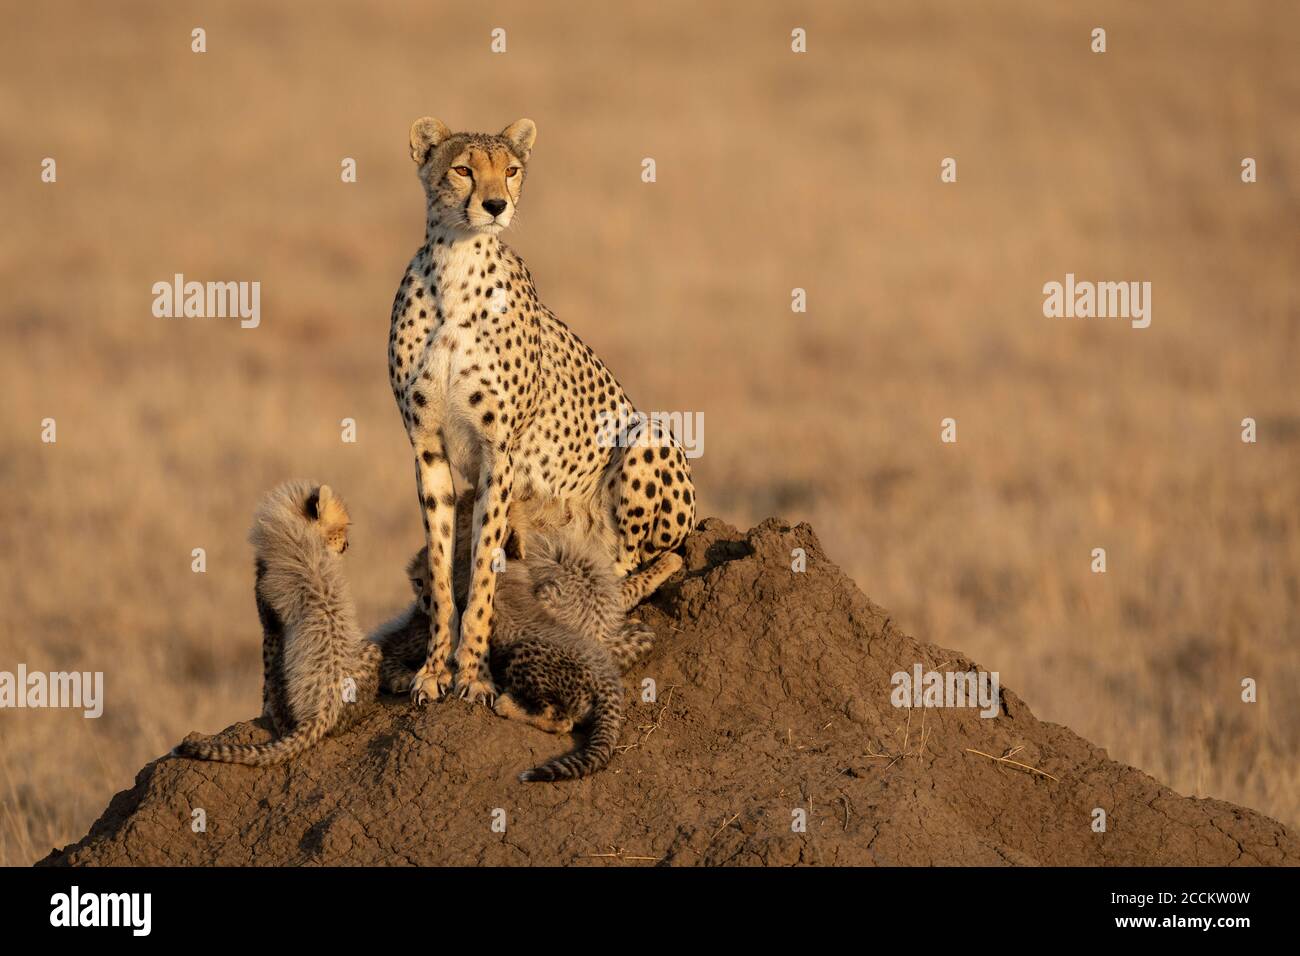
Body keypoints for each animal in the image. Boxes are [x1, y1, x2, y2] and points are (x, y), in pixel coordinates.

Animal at [390, 117, 696, 702]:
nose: (495, 205)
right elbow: (441, 566)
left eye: (511, 170)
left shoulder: (499, 451)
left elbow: (483, 571)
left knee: (637, 563)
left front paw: (474, 673)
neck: (455, 265)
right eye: (462, 169)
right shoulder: (427, 448)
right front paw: (435, 669)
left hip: (647, 434)